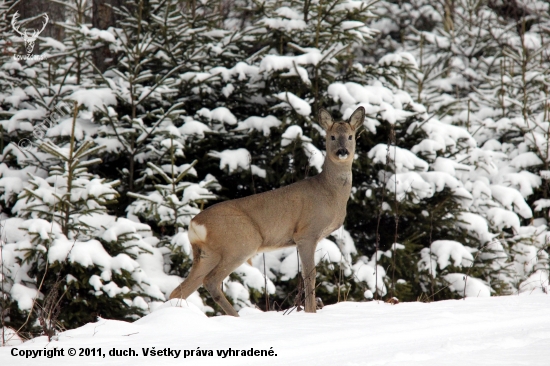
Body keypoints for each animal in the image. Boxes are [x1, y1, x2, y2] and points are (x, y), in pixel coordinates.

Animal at [169, 106, 366, 318]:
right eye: (332, 136)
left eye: (350, 136)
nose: (342, 151)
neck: (330, 192)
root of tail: (194, 224)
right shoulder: (306, 233)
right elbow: (309, 274)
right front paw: (310, 312)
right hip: (240, 244)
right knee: (211, 281)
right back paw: (237, 317)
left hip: (207, 253)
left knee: (180, 290)